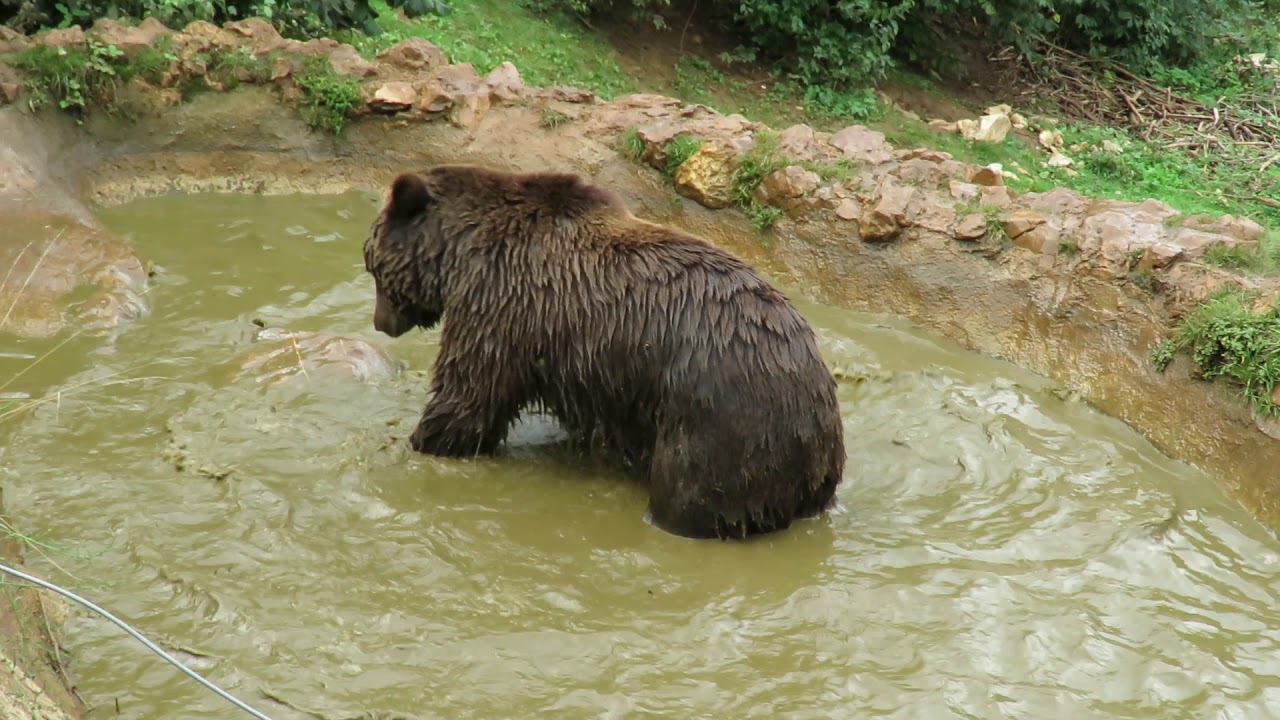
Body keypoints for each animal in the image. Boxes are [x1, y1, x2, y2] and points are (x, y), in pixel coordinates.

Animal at [362, 163, 846, 540]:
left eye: (372, 266)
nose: (380, 322)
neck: (459, 254)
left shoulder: (502, 305)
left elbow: (468, 396)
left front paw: (417, 441)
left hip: (718, 424)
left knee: (690, 497)